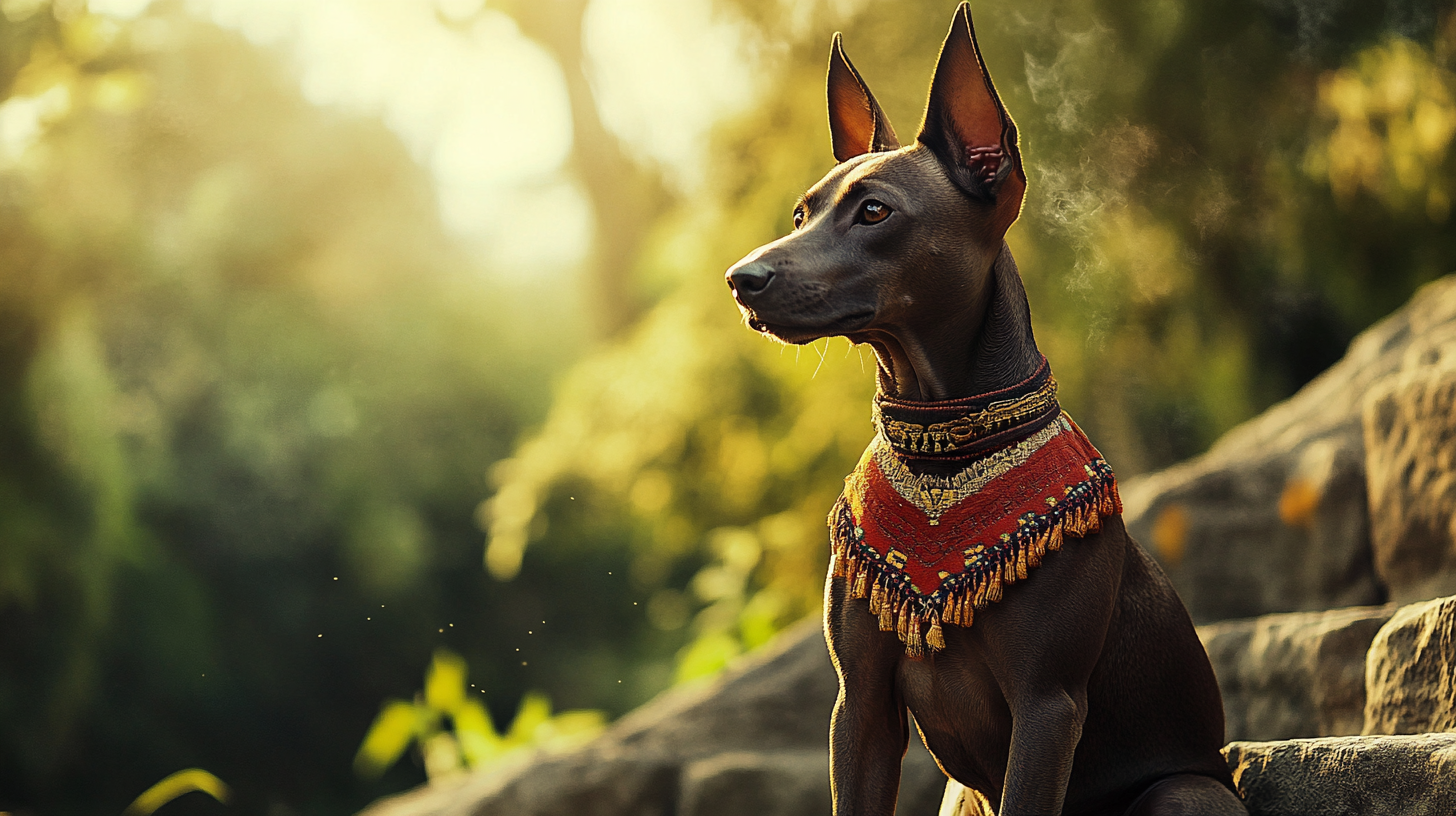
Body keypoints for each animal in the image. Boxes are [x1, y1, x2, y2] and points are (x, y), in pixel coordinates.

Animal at [722, 6, 1246, 816]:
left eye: (875, 211)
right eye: (802, 212)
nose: (740, 278)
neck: (945, 444)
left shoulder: (1046, 705)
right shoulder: (860, 706)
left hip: (1183, 791)